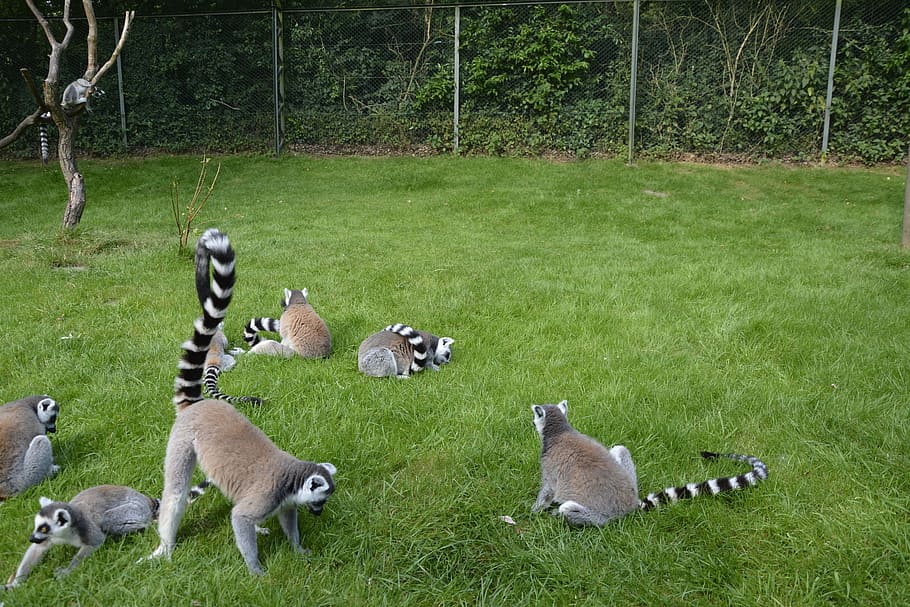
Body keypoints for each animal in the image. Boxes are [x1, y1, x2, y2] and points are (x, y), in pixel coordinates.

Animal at [5, 485, 159, 588]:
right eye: (37, 525)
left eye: (43, 527)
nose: (31, 538)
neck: (66, 534)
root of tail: (145, 499)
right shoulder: (48, 538)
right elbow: (37, 549)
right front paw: (16, 583)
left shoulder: (86, 528)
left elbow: (94, 543)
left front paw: (66, 572)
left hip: (135, 510)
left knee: (108, 520)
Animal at [146, 228, 337, 576]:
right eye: (321, 499)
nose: (319, 512)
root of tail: (199, 404)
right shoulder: (269, 495)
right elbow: (240, 518)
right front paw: (257, 571)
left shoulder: (282, 502)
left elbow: (284, 520)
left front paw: (298, 549)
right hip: (181, 441)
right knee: (176, 493)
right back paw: (165, 547)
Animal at [531, 400, 768, 526]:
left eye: (535, 416)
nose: (531, 420)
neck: (559, 431)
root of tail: (631, 505)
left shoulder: (550, 468)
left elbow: (548, 491)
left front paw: (534, 512)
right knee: (620, 448)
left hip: (600, 516)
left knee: (568, 508)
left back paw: (558, 515)